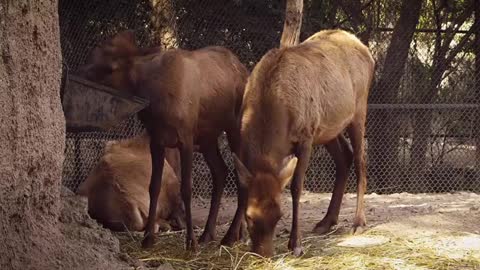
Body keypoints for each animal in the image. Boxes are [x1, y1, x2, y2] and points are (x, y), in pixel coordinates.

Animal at [77, 31, 249, 251]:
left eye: (110, 67)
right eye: (94, 54)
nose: (79, 74)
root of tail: (243, 69)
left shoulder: (186, 139)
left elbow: (187, 189)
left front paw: (190, 242)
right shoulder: (157, 141)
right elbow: (154, 187)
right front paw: (149, 238)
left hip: (234, 128)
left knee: (241, 175)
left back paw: (230, 236)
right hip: (208, 136)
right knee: (220, 171)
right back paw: (209, 235)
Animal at [229, 30, 376, 258]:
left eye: (279, 215)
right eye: (249, 216)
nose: (265, 253)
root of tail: (366, 51)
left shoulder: (306, 136)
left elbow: (297, 186)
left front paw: (296, 243)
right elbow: (242, 187)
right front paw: (232, 237)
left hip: (358, 110)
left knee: (361, 160)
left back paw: (358, 222)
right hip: (328, 128)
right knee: (344, 156)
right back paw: (326, 221)